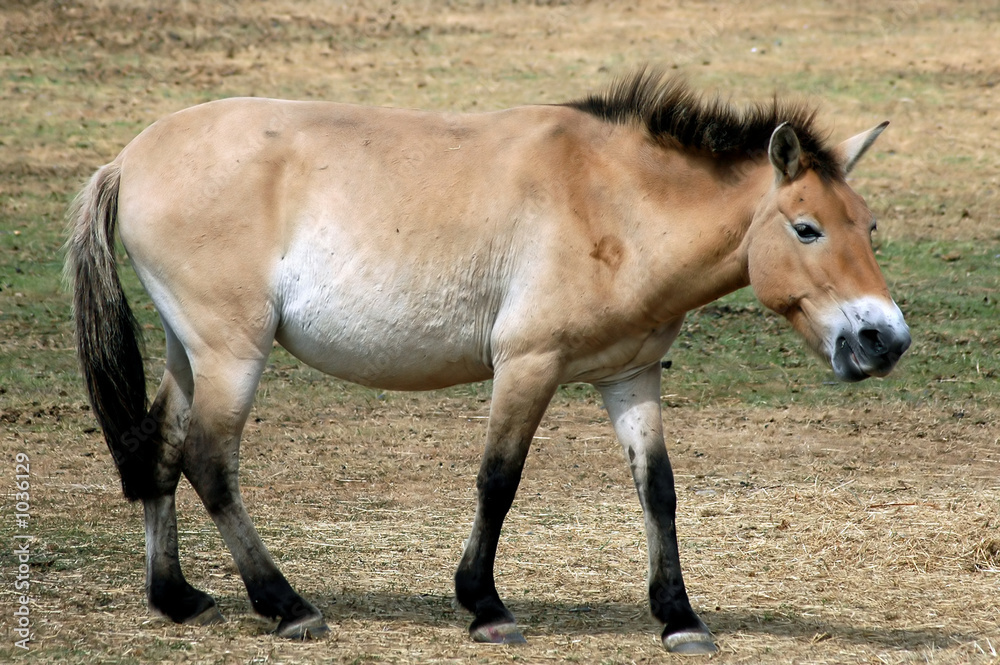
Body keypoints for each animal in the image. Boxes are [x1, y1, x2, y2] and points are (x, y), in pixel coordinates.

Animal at [67, 69, 910, 655]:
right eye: (806, 228)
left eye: (867, 225)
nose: (884, 338)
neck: (614, 203)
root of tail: (127, 160)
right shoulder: (527, 364)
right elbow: (498, 481)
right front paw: (486, 606)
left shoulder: (629, 376)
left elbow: (659, 491)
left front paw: (680, 617)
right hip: (232, 351)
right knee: (210, 462)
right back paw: (288, 605)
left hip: (191, 352)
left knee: (161, 451)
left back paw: (176, 597)